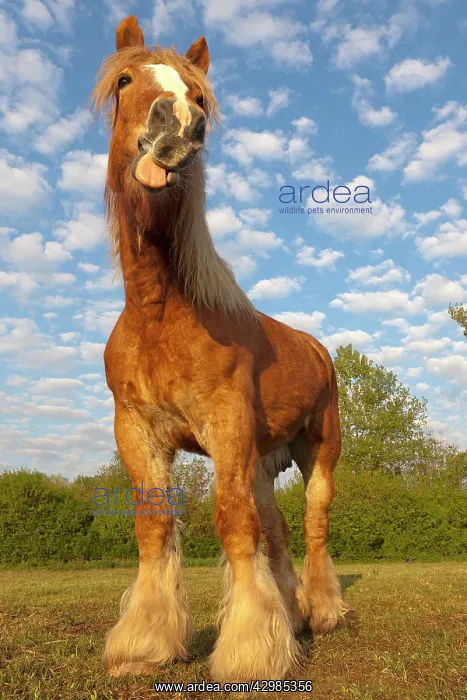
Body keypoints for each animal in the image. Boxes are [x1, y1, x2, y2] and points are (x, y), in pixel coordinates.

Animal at [92, 14, 349, 683]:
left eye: (200, 95)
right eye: (126, 80)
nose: (179, 125)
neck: (161, 314)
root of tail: (317, 349)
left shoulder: (225, 425)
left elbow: (234, 524)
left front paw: (251, 650)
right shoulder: (139, 431)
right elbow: (156, 525)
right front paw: (145, 642)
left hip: (319, 450)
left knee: (313, 523)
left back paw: (324, 612)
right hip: (262, 459)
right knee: (278, 530)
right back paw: (296, 613)